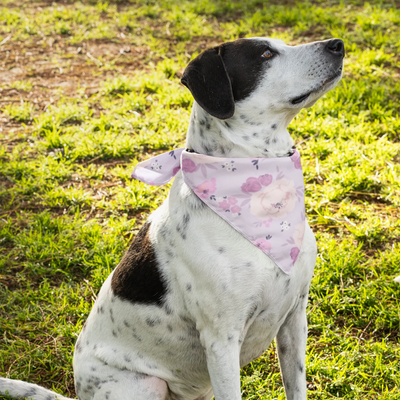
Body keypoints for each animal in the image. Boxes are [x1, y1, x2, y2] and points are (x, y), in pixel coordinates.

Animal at [0, 36, 344, 400]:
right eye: (265, 54)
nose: (337, 44)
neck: (261, 193)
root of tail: (82, 396)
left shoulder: (294, 319)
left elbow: (296, 386)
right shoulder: (221, 341)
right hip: (146, 384)